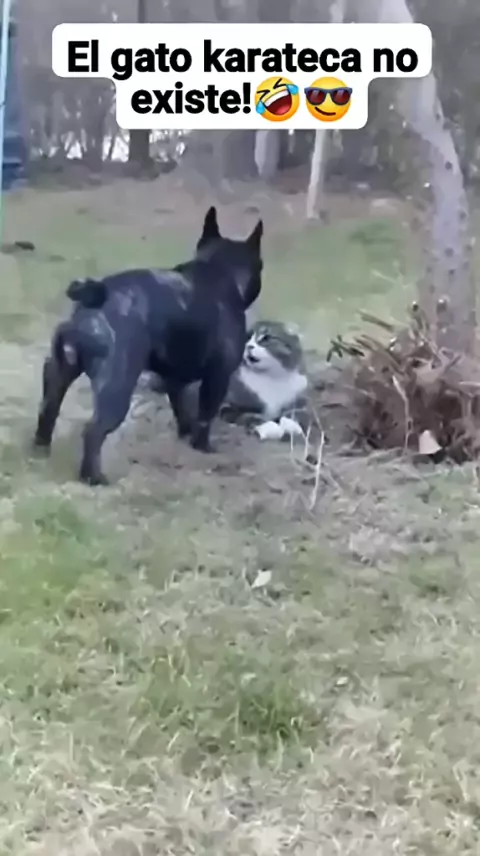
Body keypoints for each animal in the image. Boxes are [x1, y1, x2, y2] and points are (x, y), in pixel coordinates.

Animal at [33, 206, 264, 485]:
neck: (217, 269)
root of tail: (91, 304)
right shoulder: (218, 377)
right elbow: (205, 415)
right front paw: (203, 447)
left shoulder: (174, 378)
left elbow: (181, 407)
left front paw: (185, 433)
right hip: (117, 386)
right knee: (93, 431)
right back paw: (93, 477)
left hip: (58, 371)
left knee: (48, 408)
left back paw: (40, 448)